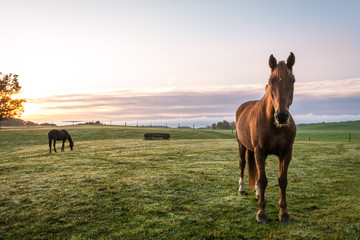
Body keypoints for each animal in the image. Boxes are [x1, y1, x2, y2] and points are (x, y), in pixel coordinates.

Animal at [235, 52, 296, 223]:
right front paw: (261, 213)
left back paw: (256, 194)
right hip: (242, 146)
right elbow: (262, 181)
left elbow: (282, 181)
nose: (281, 116)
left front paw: (284, 213)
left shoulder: (286, 153)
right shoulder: (260, 152)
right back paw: (241, 190)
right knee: (242, 165)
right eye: (270, 82)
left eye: (293, 80)